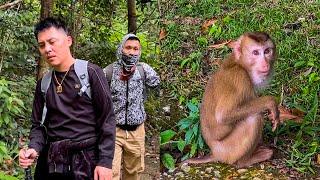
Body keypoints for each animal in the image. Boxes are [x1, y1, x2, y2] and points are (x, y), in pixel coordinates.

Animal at [185, 32, 280, 167]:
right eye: (255, 52)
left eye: (267, 51)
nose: (265, 64)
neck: (241, 64)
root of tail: (214, 153)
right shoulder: (240, 79)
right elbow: (223, 115)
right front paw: (270, 102)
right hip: (230, 151)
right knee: (254, 118)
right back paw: (245, 161)